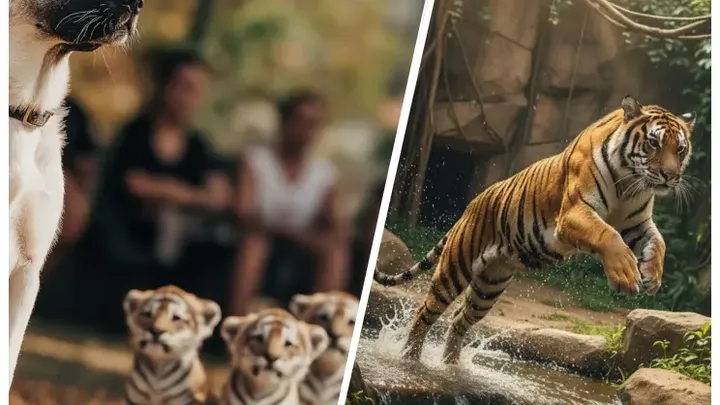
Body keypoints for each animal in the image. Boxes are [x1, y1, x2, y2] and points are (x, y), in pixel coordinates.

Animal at [373, 95, 696, 365]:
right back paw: (409, 359)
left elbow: (659, 243)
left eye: (680, 149)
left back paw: (450, 366)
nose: (670, 176)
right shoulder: (574, 212)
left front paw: (652, 275)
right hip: (455, 267)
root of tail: (470, 206)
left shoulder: (637, 223)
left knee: (458, 320)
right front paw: (626, 277)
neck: (628, 184)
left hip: (489, 285)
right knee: (425, 314)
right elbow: (608, 235)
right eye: (653, 143)